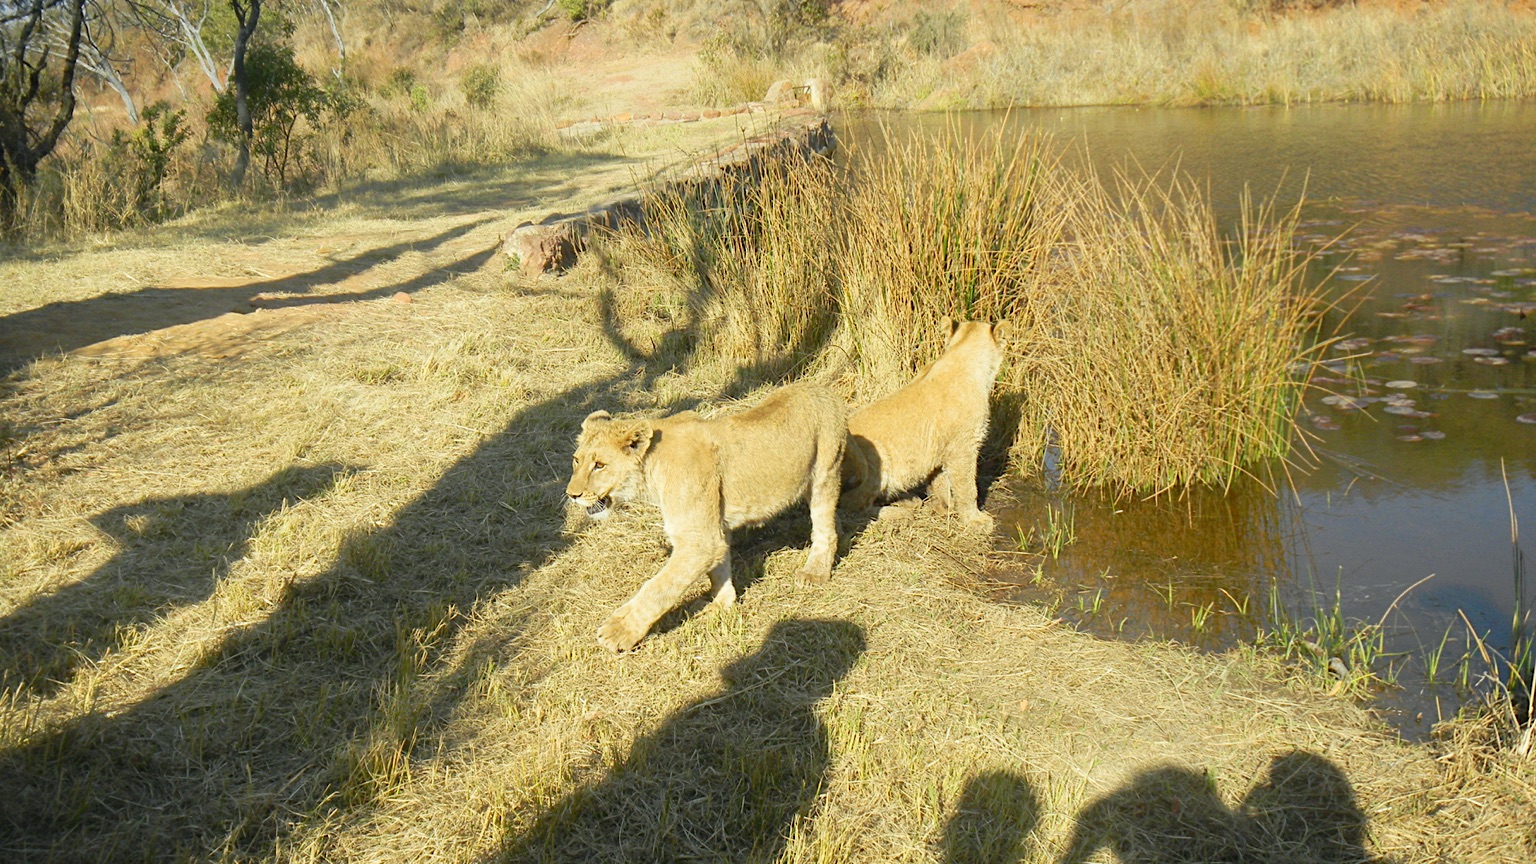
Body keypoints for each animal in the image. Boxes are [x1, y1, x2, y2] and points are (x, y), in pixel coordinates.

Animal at [566, 383, 847, 652]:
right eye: (576, 461)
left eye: (600, 465)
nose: (572, 494)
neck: (651, 471)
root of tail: (823, 390)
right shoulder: (713, 530)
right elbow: (718, 570)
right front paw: (721, 604)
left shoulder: (700, 540)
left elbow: (660, 587)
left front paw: (619, 631)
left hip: (825, 471)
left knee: (825, 528)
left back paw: (815, 572)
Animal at [841, 318, 1009, 529]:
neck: (960, 355)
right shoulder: (963, 448)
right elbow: (968, 488)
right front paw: (975, 519)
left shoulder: (941, 450)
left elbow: (940, 482)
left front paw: (946, 507)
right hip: (873, 460)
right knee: (851, 506)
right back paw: (898, 513)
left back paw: (907, 500)